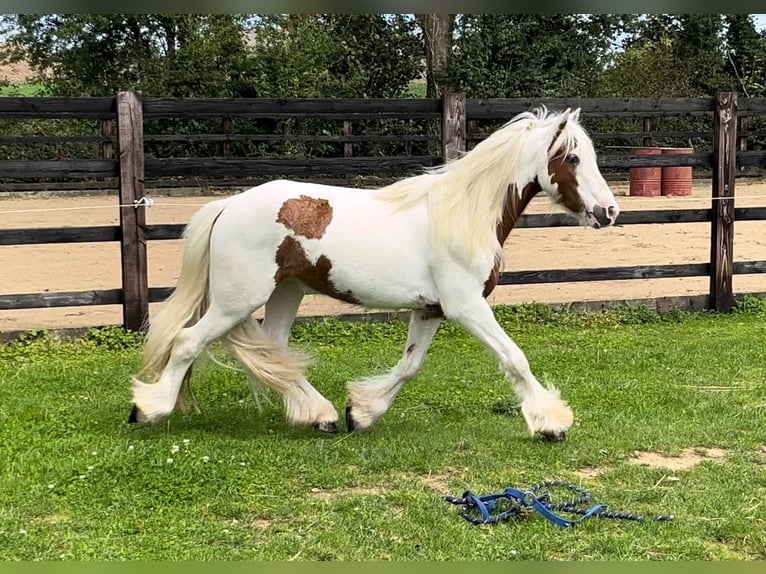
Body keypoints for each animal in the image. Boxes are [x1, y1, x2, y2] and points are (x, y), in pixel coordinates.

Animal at [129, 107, 620, 440]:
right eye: (572, 158)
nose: (610, 211)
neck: (462, 216)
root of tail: (228, 205)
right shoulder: (466, 307)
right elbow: (514, 357)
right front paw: (551, 423)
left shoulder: (431, 310)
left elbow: (409, 366)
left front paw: (361, 412)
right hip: (238, 298)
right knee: (188, 342)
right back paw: (148, 408)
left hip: (286, 291)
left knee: (275, 351)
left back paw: (321, 415)